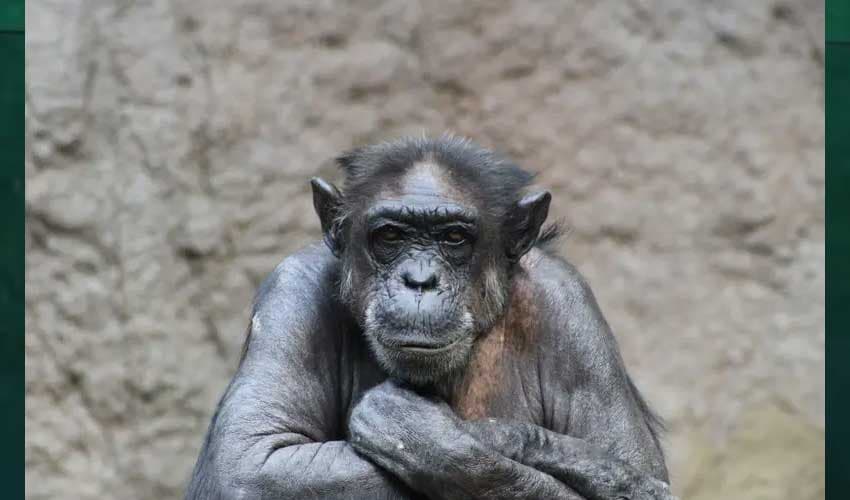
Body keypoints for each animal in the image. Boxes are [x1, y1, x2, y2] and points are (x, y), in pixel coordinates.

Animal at [186, 135, 676, 499]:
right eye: (390, 236)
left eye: (454, 237)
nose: (419, 280)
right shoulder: (292, 292)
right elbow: (249, 463)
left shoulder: (569, 307)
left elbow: (633, 464)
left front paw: (427, 431)